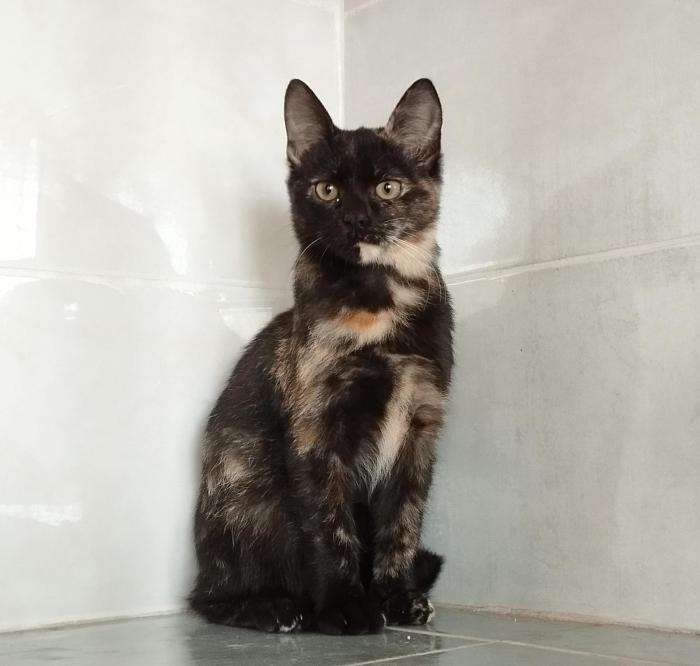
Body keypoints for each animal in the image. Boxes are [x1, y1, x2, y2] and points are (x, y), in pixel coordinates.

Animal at [189, 78, 454, 635]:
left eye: (388, 188)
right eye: (325, 190)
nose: (355, 218)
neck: (374, 301)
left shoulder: (420, 431)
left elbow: (403, 522)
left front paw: (397, 597)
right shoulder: (316, 432)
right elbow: (330, 527)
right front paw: (346, 606)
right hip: (251, 496)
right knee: (209, 596)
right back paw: (274, 608)